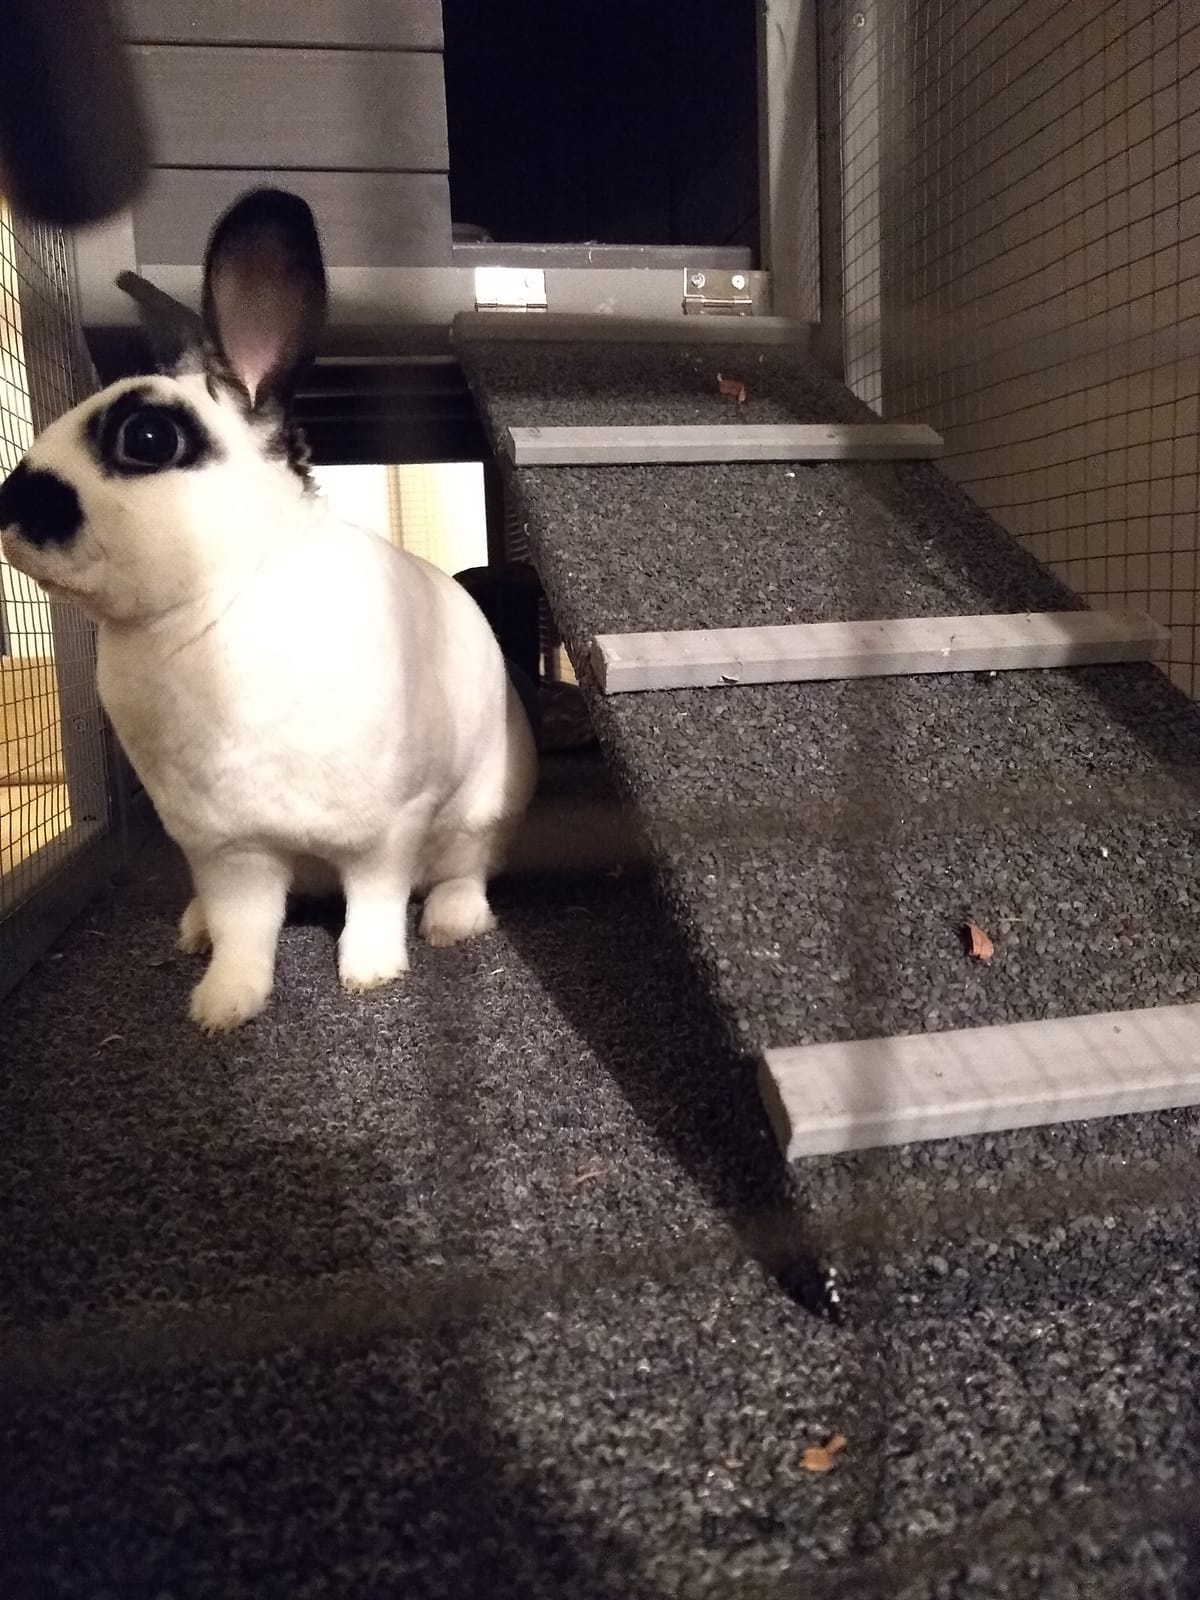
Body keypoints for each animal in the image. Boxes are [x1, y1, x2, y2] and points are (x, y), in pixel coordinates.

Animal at [0, 187, 538, 1032]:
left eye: (146, 437)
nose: (6, 509)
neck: (212, 601)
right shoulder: (226, 851)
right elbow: (245, 928)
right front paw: (223, 1006)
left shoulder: (384, 831)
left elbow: (376, 902)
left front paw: (371, 974)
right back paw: (192, 930)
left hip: (482, 812)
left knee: (464, 872)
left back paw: (450, 924)